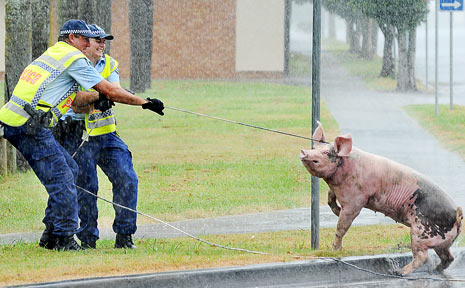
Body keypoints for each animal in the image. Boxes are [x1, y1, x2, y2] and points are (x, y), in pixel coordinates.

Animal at [300, 121, 462, 274]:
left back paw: (399, 272)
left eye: (326, 152)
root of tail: (457, 215)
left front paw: (334, 250)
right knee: (448, 257)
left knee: (423, 256)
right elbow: (329, 198)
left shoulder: (356, 200)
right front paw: (337, 211)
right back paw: (435, 270)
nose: (304, 152)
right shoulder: (336, 190)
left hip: (421, 232)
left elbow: (342, 226)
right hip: (440, 241)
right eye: (314, 148)